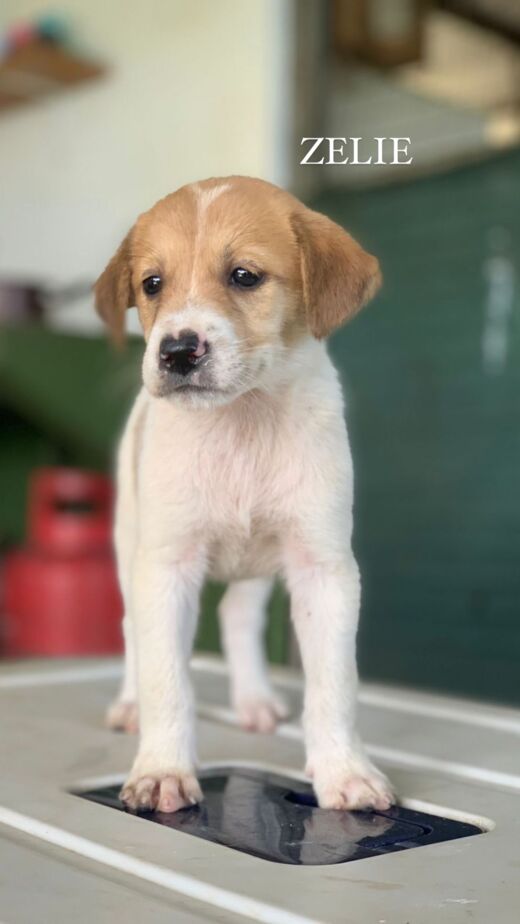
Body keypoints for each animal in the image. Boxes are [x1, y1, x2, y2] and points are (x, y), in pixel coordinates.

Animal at [95, 175, 394, 814]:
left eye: (244, 276)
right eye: (151, 284)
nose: (176, 351)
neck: (242, 422)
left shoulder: (323, 567)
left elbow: (335, 684)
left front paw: (345, 771)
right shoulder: (166, 567)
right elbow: (166, 680)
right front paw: (162, 770)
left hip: (260, 563)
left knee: (237, 614)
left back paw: (254, 700)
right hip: (131, 543)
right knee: (133, 630)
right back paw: (130, 704)